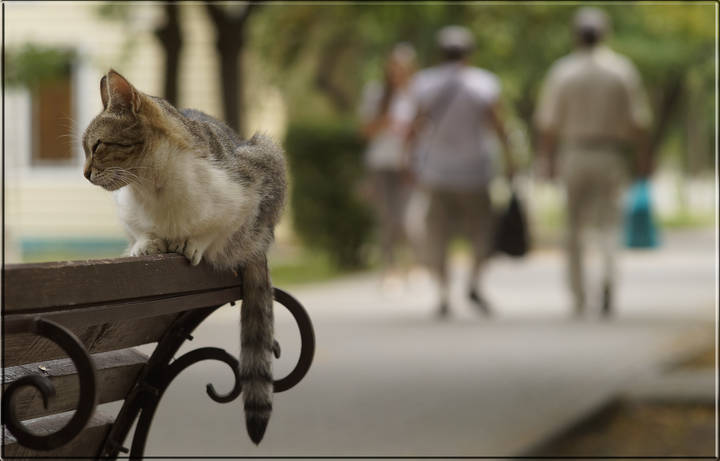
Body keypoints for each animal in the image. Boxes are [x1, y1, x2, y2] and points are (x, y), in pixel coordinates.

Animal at [82, 70, 286, 444]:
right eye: (84, 148)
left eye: (98, 146)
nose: (85, 173)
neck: (149, 182)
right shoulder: (128, 212)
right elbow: (142, 231)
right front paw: (146, 244)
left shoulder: (243, 196)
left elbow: (214, 230)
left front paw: (194, 243)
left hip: (268, 157)